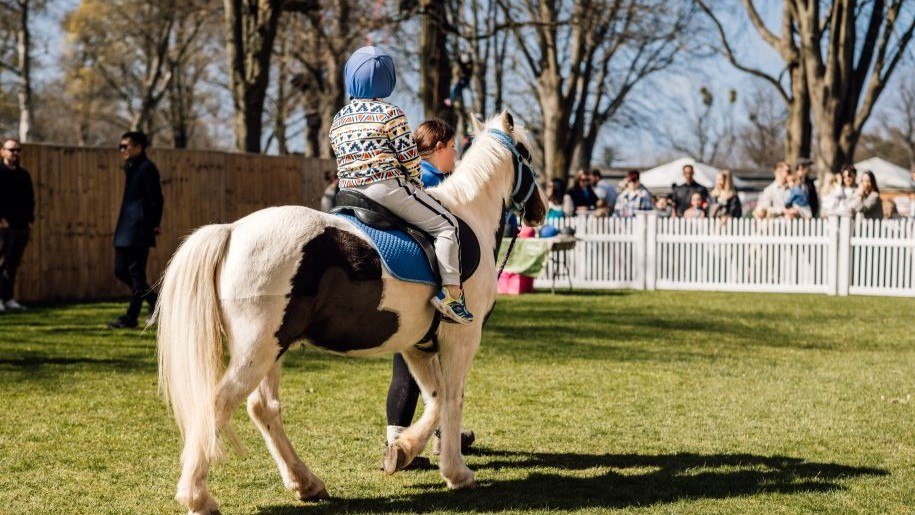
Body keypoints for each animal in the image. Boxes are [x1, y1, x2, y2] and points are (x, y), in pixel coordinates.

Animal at [155, 111, 547, 514]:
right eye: (529, 153)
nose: (540, 211)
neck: (467, 214)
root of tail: (232, 230)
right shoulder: (461, 339)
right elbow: (453, 399)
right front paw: (457, 472)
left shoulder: (416, 346)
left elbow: (435, 399)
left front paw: (404, 450)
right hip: (258, 351)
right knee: (217, 404)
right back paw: (197, 495)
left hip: (270, 350)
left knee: (263, 408)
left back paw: (305, 482)